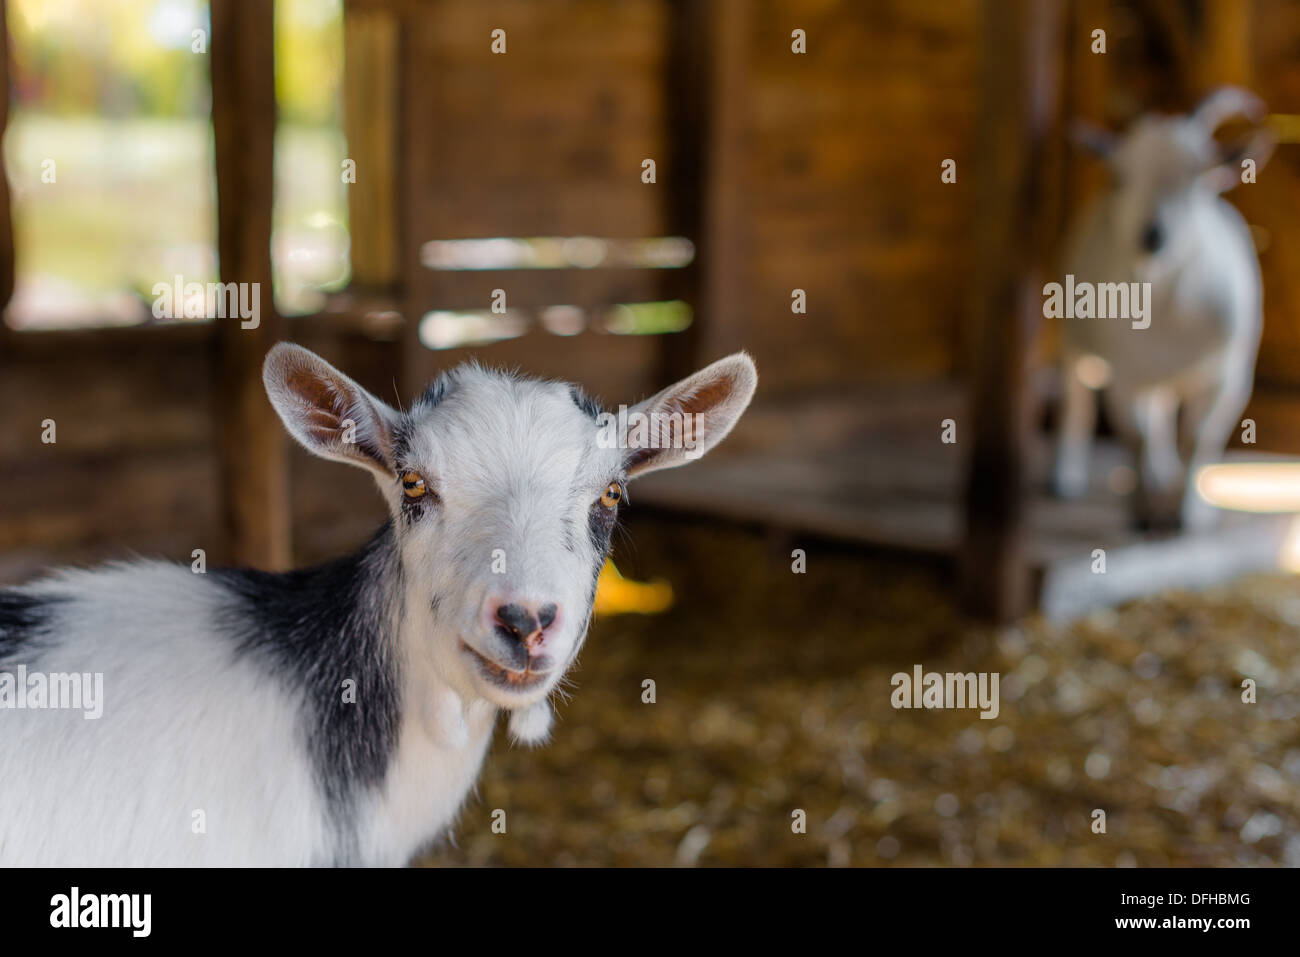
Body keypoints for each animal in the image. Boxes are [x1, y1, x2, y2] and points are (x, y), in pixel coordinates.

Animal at [1052, 87, 1274, 530]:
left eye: (1197, 179)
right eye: (1119, 177)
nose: (1152, 236)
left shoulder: (1228, 377)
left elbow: (1198, 437)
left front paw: (1188, 515)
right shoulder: (1126, 375)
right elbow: (1135, 437)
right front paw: (1142, 511)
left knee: (1162, 415)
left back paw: (1167, 476)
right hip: (1076, 339)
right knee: (1078, 396)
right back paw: (1068, 476)